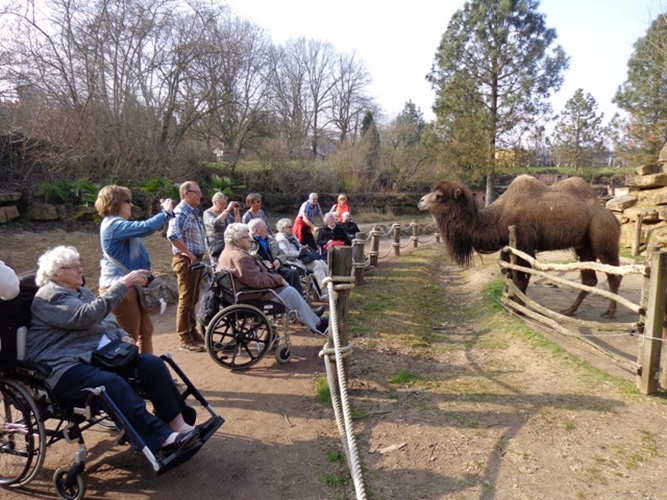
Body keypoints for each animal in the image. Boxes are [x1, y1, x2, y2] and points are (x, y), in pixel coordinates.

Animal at [420, 174, 624, 318]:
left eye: (439, 196)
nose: (421, 201)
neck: (496, 218)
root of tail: (613, 217)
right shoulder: (507, 247)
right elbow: (508, 272)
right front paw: (510, 301)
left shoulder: (525, 246)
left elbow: (521, 276)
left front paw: (520, 308)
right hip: (583, 246)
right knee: (590, 279)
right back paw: (568, 310)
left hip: (603, 239)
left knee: (614, 273)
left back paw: (610, 312)